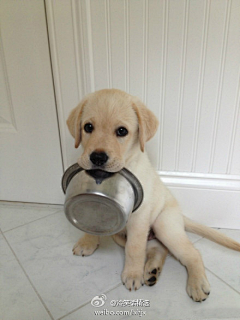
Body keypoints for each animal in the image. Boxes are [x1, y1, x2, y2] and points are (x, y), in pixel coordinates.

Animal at [66, 88, 240, 302]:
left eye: (122, 131)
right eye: (88, 127)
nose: (97, 157)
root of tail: (180, 214)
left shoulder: (139, 217)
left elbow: (134, 249)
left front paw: (132, 274)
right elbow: (92, 222)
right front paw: (87, 242)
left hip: (164, 225)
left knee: (191, 252)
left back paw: (196, 284)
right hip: (123, 235)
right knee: (158, 248)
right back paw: (151, 270)